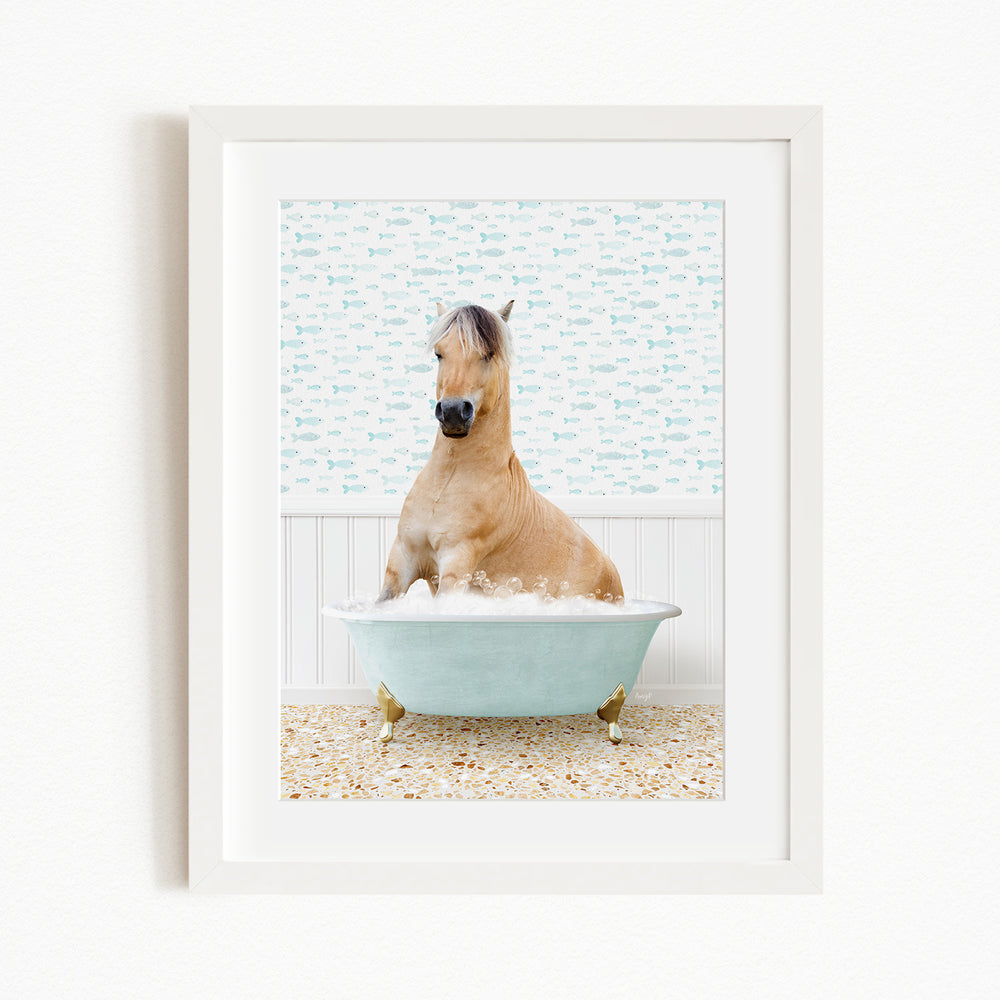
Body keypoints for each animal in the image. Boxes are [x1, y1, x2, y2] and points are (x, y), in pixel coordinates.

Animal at [377, 300, 624, 603]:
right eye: (439, 354)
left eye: (488, 354)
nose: (452, 412)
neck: (447, 482)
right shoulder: (402, 561)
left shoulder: (456, 565)